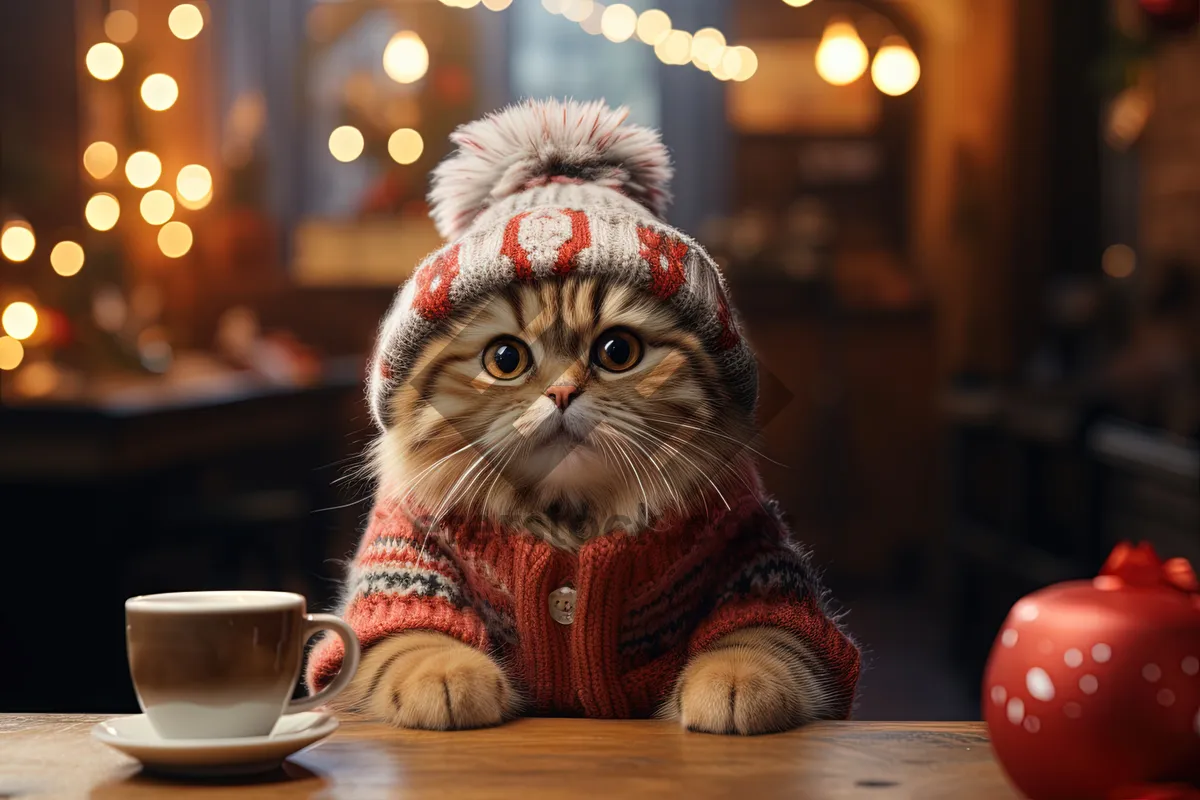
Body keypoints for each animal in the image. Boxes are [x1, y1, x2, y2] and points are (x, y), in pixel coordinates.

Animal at [304, 98, 859, 734]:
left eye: (617, 352)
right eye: (505, 359)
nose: (563, 393)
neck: (570, 523)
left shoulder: (758, 565)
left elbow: (757, 641)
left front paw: (738, 685)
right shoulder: (397, 574)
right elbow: (417, 643)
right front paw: (447, 681)